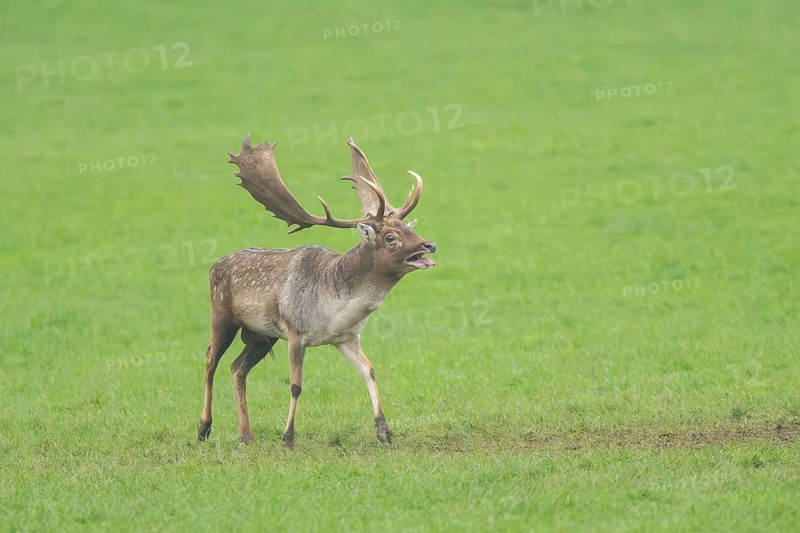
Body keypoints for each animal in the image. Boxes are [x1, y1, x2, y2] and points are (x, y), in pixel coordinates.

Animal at [197, 134, 436, 448]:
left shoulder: (346, 337)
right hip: (221, 315)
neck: (335, 309)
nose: (429, 245)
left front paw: (385, 432)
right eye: (390, 237)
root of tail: (214, 265)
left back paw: (246, 435)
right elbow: (296, 385)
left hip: (261, 335)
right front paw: (288, 438)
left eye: (408, 228)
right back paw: (203, 428)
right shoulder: (295, 331)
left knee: (237, 368)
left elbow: (369, 370)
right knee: (210, 361)